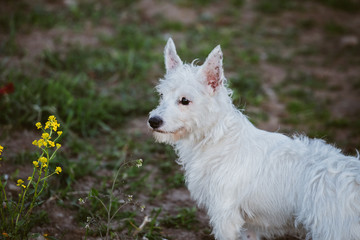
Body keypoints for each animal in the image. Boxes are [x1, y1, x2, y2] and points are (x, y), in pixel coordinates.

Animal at [147, 38, 360, 240]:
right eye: (161, 95)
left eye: (185, 100)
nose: (153, 121)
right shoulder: (247, 225)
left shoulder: (225, 216)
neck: (217, 139)